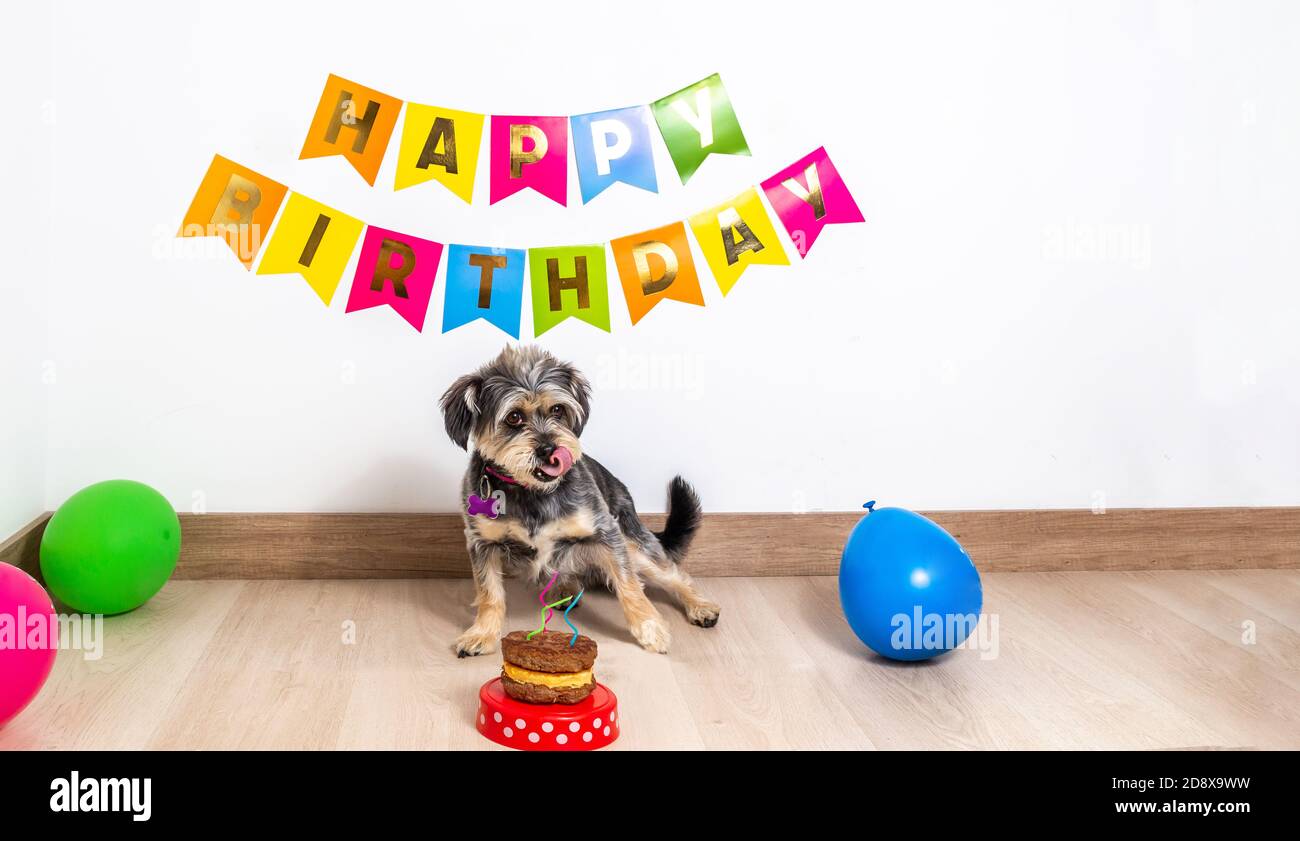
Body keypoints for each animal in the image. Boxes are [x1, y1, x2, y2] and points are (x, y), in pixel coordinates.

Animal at [439, 345, 722, 655]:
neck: (532, 491)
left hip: (633, 542)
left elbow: (629, 584)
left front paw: (649, 628)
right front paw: (482, 634)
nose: (549, 448)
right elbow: (489, 592)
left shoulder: (606, 532)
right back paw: (564, 589)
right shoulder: (482, 543)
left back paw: (700, 606)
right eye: (513, 417)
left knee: (672, 574)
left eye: (558, 409)